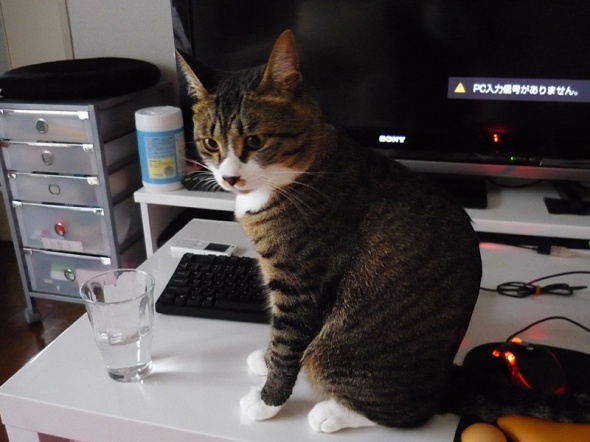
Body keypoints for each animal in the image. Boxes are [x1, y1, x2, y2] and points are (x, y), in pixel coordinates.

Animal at [176, 30, 589, 433]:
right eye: (210, 143)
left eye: (256, 141)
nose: (229, 178)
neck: (294, 173)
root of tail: (442, 384)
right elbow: (277, 339)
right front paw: (263, 361)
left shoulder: (300, 286)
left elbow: (286, 345)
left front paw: (267, 401)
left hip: (347, 355)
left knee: (406, 414)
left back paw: (333, 414)